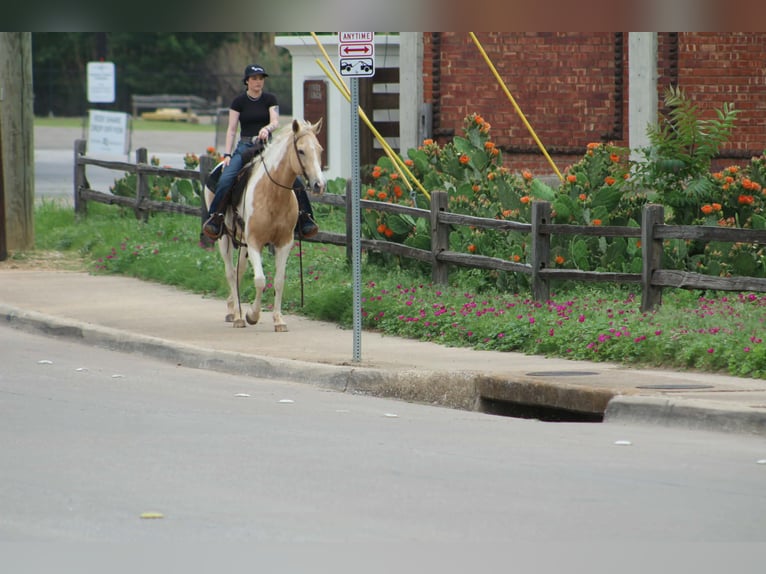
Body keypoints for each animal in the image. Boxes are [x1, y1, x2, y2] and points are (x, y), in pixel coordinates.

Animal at [204, 118, 325, 331]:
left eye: (319, 149)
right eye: (301, 150)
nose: (319, 184)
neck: (272, 193)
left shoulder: (284, 243)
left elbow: (278, 281)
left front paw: (278, 320)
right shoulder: (254, 242)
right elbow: (260, 280)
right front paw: (252, 315)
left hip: (242, 243)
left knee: (239, 271)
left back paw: (233, 309)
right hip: (224, 239)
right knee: (230, 273)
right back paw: (238, 316)